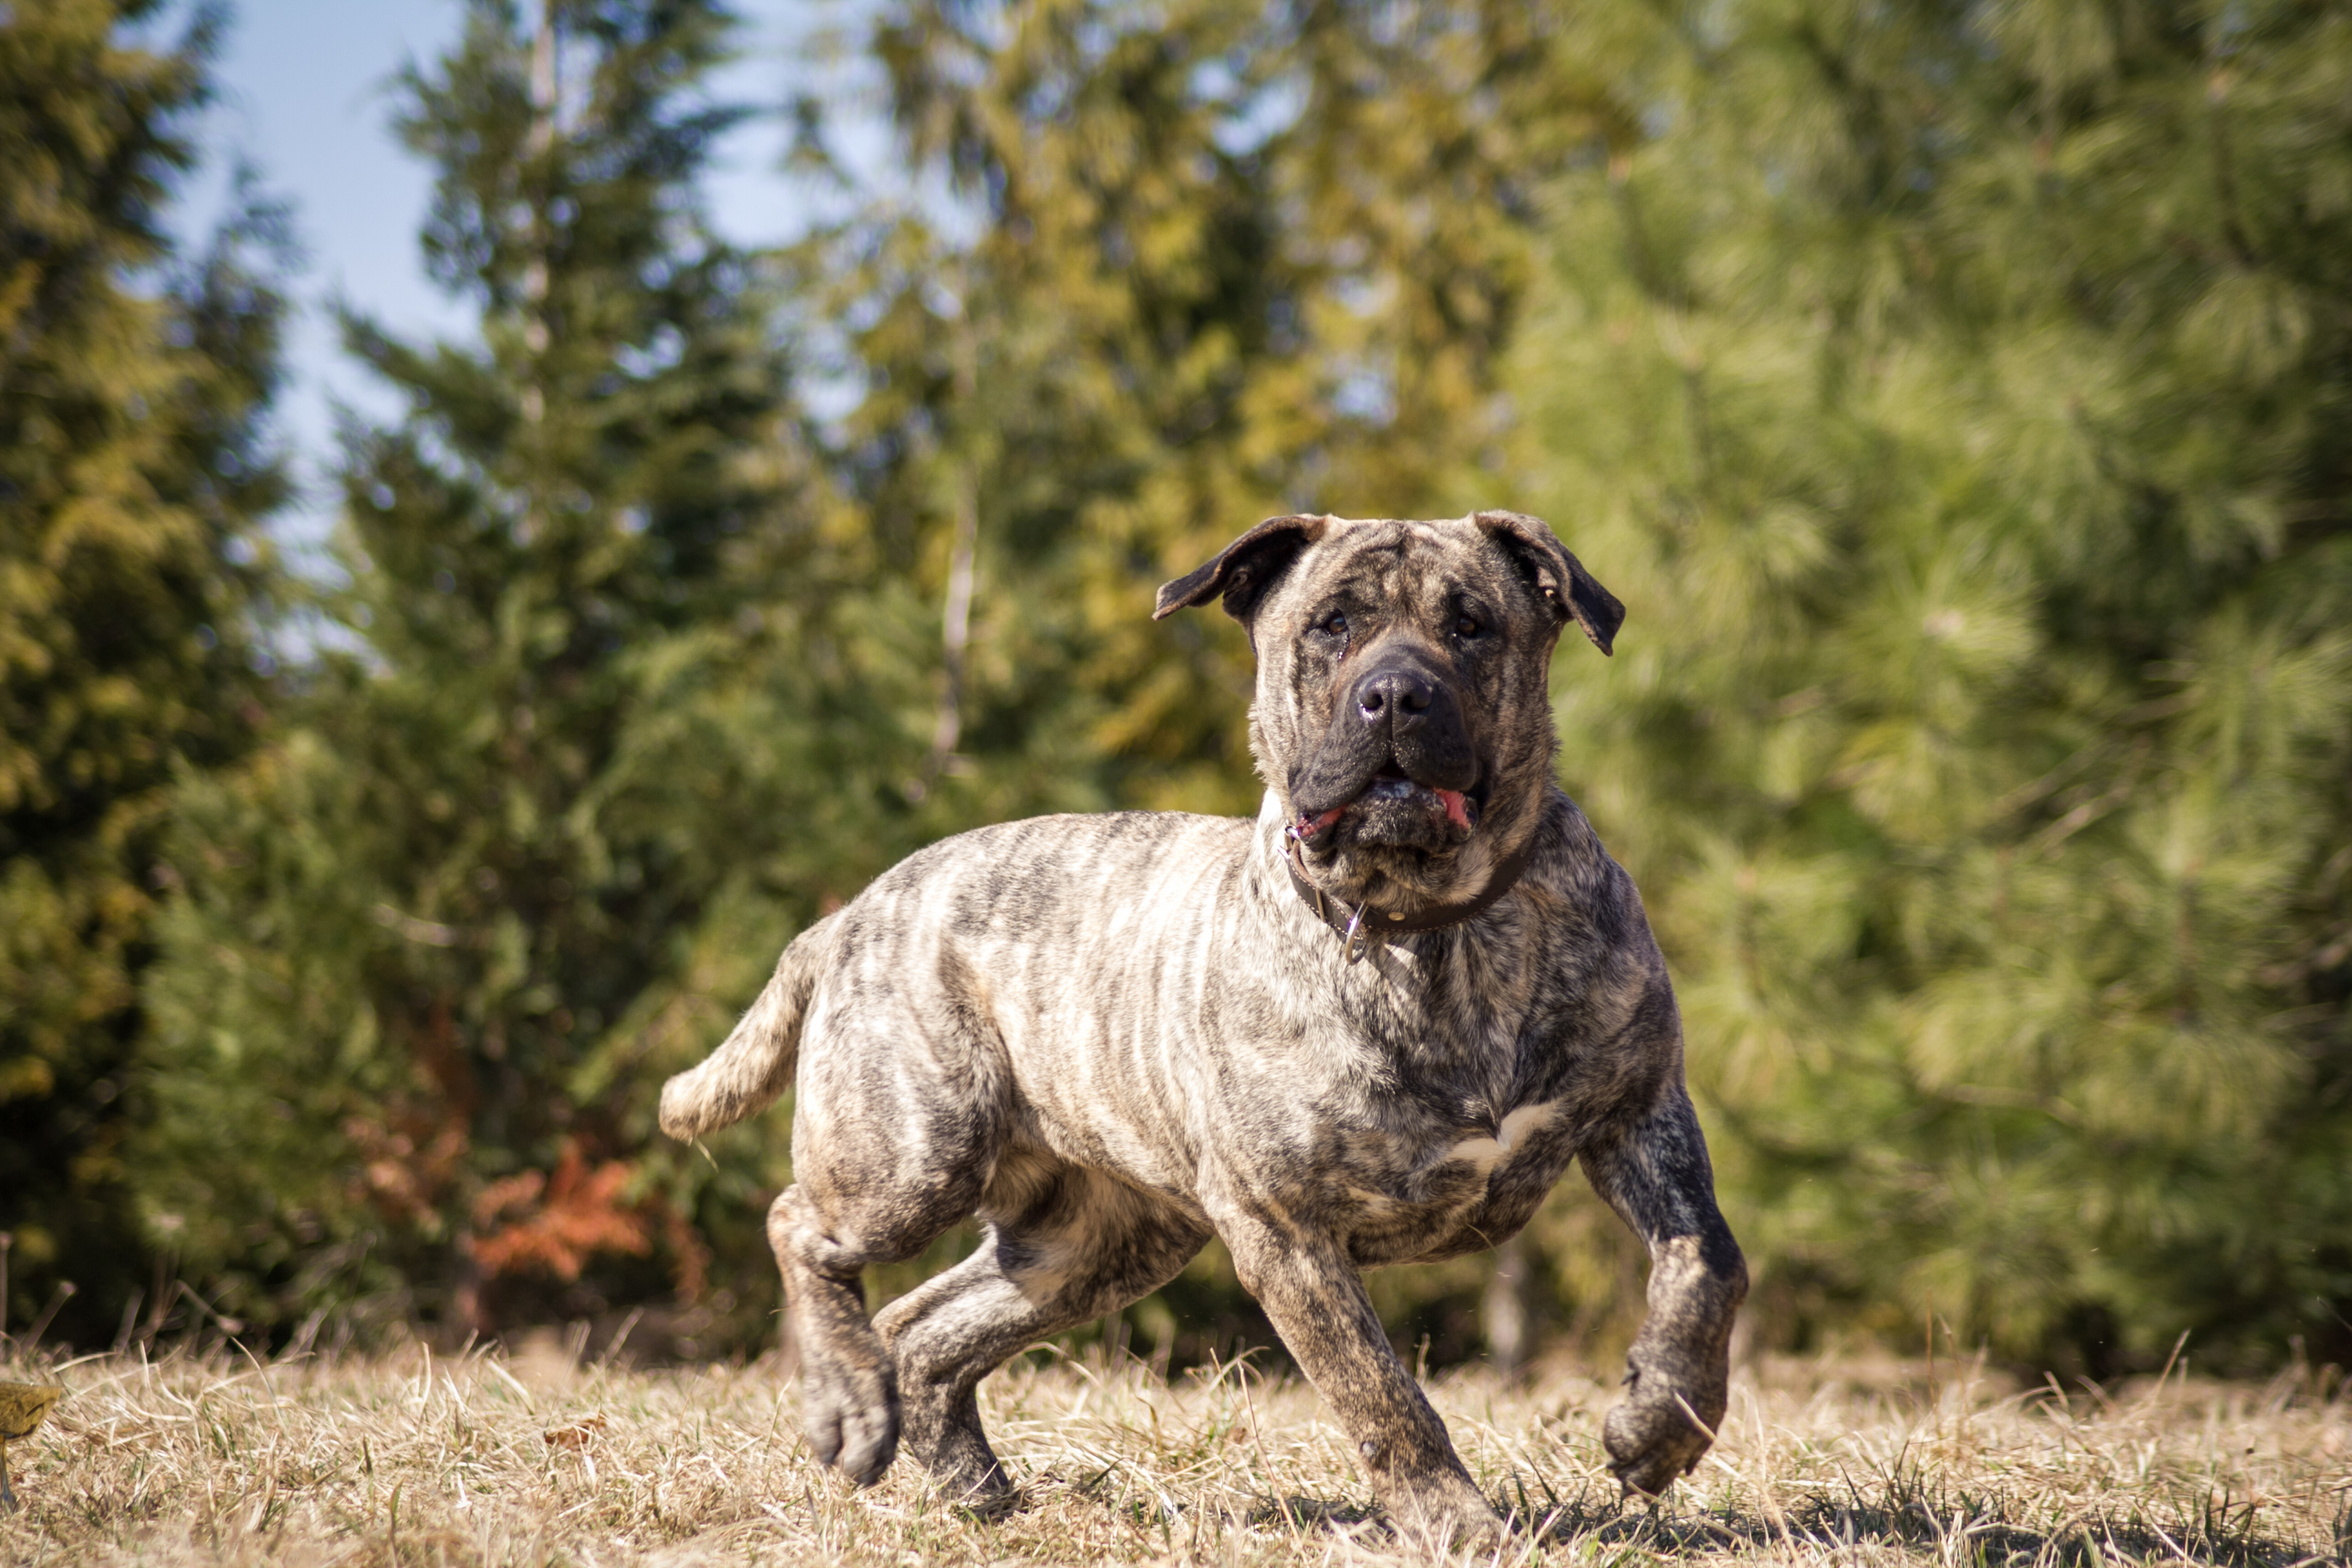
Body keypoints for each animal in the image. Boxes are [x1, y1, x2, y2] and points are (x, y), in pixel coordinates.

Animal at [663, 510, 1750, 1542]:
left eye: (1471, 625)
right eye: (1332, 625)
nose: (1397, 695)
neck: (1431, 928)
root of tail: (851, 912)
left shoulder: (1642, 1110)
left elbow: (1707, 1263)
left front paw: (1660, 1422)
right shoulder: (1284, 1229)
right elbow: (1381, 1394)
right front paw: (1458, 1522)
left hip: (1098, 1242)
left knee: (927, 1322)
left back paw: (977, 1487)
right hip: (913, 1152)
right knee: (802, 1224)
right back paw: (849, 1408)